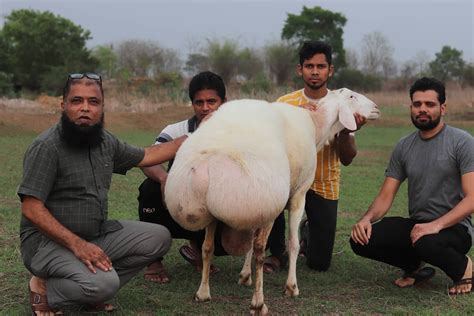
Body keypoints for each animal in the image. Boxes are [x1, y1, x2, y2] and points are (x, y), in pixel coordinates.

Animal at [165, 87, 380, 314]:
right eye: (351, 96)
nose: (377, 108)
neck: (316, 123)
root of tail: (206, 165)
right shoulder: (298, 194)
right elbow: (293, 243)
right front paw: (291, 287)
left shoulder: (254, 212)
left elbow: (244, 246)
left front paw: (245, 276)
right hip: (266, 207)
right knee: (260, 251)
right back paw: (258, 303)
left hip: (228, 211)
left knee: (208, 247)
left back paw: (203, 293)